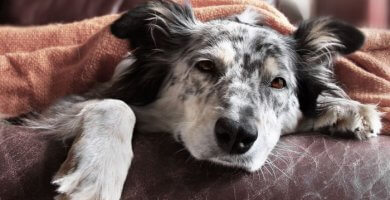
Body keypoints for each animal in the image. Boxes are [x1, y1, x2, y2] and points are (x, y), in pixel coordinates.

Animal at [13, 0, 382, 199]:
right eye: (206, 66)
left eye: (278, 83)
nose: (237, 135)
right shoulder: (60, 106)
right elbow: (116, 105)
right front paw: (97, 173)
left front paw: (347, 109)